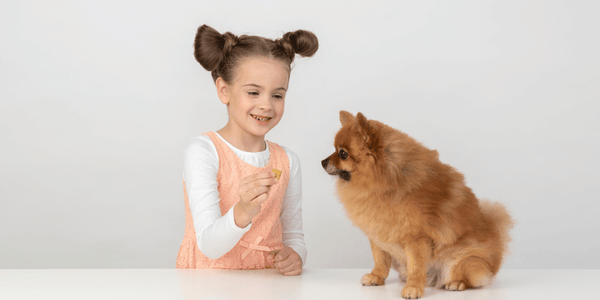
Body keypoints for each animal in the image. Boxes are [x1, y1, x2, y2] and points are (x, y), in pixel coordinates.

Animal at [322, 111, 512, 298]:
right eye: (334, 150)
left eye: (343, 153)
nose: (323, 162)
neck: (384, 181)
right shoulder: (377, 233)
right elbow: (380, 259)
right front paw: (376, 277)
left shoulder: (416, 238)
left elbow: (416, 266)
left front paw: (413, 288)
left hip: (461, 258)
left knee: (471, 276)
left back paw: (456, 283)